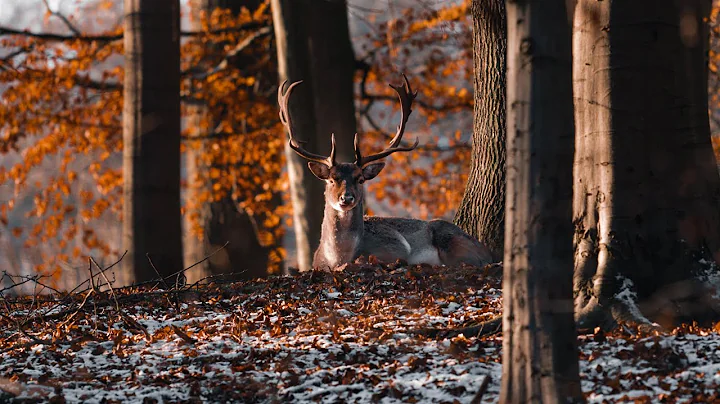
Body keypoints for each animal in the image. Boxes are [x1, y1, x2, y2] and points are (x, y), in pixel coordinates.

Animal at [278, 75, 492, 272]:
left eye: (360, 179)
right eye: (332, 179)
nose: (346, 198)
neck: (337, 257)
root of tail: (487, 249)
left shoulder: (393, 249)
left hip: (454, 242)